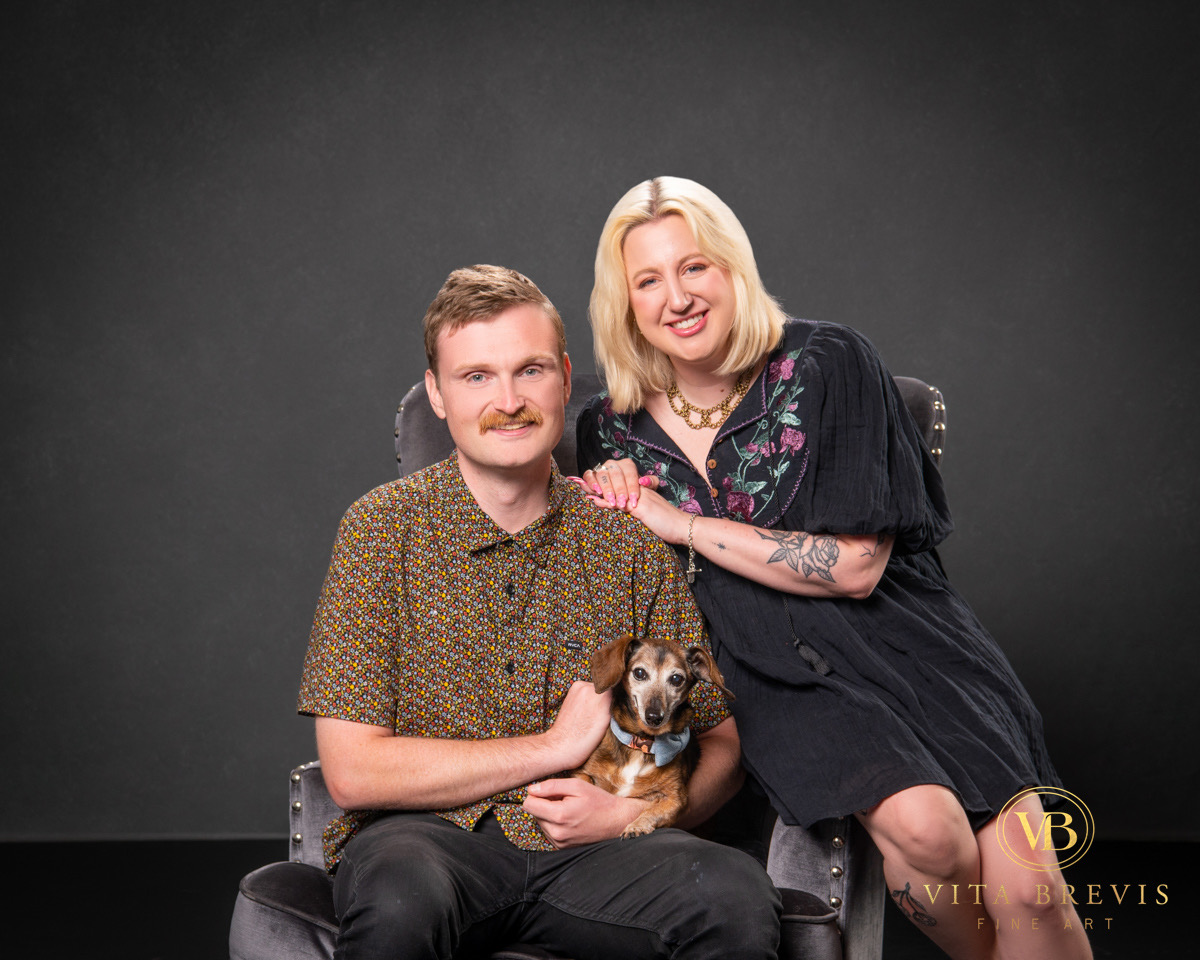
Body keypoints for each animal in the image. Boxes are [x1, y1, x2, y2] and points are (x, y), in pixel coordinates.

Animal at [572, 634, 734, 838]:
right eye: (639, 673)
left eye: (676, 679)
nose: (654, 717)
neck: (642, 743)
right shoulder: (581, 774)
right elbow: (585, 782)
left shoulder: (676, 798)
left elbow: (654, 811)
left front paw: (636, 826)